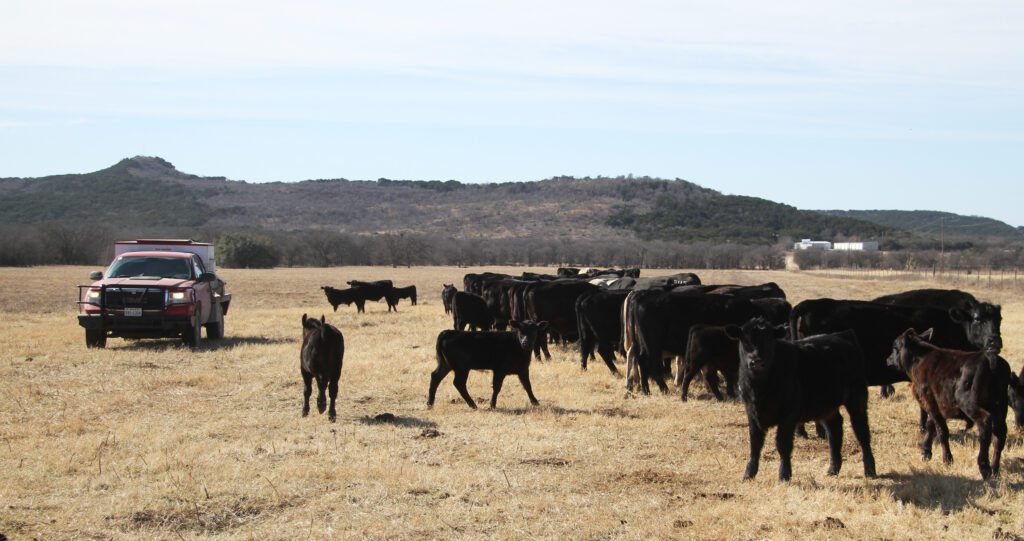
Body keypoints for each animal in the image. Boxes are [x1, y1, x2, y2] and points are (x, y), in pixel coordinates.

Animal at [724, 317, 876, 481]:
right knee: (834, 429)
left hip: (857, 399)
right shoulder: (752, 413)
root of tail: (843, 334)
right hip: (827, 407)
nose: (757, 362)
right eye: (745, 340)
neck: (759, 389)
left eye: (770, 340)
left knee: (862, 432)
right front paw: (748, 474)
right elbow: (755, 444)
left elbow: (783, 444)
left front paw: (784, 474)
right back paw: (833, 469)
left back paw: (870, 470)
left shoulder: (788, 414)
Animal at [884, 327, 1011, 479]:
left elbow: (941, 431)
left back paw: (984, 467)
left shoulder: (929, 401)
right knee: (999, 435)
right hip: (1000, 407)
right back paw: (995, 469)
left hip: (970, 404)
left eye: (894, 347)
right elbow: (931, 425)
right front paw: (926, 452)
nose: (887, 359)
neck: (920, 361)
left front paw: (947, 459)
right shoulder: (937, 405)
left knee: (985, 423)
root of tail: (990, 358)